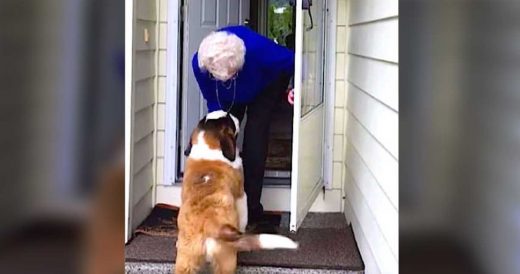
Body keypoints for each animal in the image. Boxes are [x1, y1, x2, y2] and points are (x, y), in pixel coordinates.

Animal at [176, 110, 298, 272]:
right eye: (229, 119)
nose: (233, 114)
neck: (207, 146)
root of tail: (210, 225)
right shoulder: (242, 196)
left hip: (186, 260)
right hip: (226, 258)